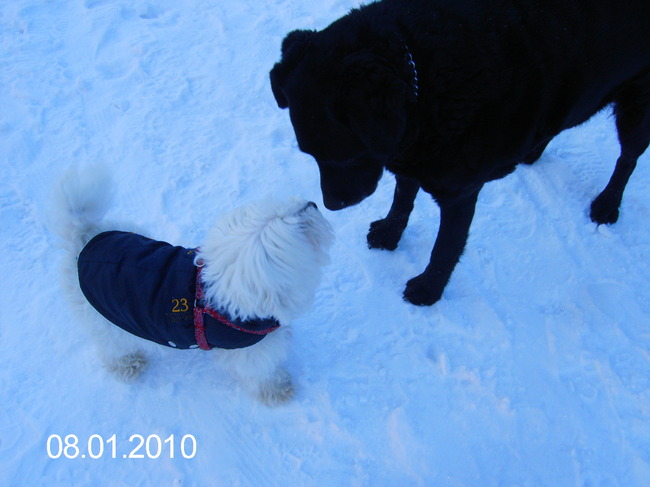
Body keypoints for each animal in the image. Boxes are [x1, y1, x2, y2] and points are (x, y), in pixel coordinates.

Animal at [51, 166, 332, 406]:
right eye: (300, 225)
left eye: (289, 206)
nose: (313, 203)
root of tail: (84, 240)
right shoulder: (250, 355)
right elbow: (262, 375)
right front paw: (278, 391)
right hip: (107, 322)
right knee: (112, 348)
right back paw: (128, 365)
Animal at [270, 0, 648, 304]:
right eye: (310, 154)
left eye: (343, 156)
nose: (330, 204)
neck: (424, 77)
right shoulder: (413, 152)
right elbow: (403, 198)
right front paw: (390, 234)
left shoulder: (460, 191)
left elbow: (446, 247)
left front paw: (428, 290)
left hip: (637, 106)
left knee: (628, 159)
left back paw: (607, 205)